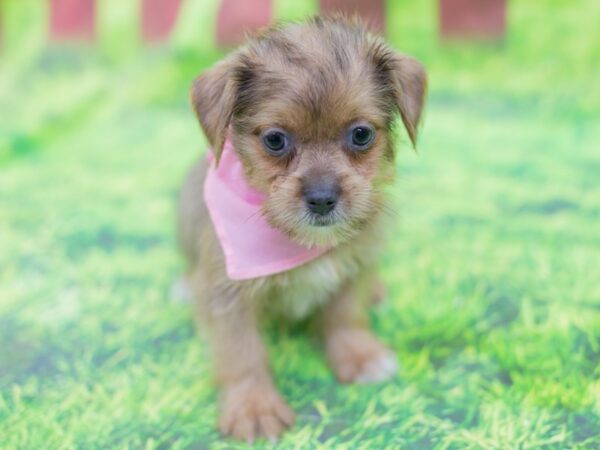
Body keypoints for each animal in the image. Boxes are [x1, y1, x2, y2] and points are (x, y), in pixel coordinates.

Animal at [178, 15, 426, 442]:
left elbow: (346, 315)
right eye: (275, 140)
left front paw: (359, 355)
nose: (322, 198)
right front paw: (253, 406)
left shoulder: (356, 265)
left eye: (361, 134)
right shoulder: (227, 296)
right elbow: (242, 352)